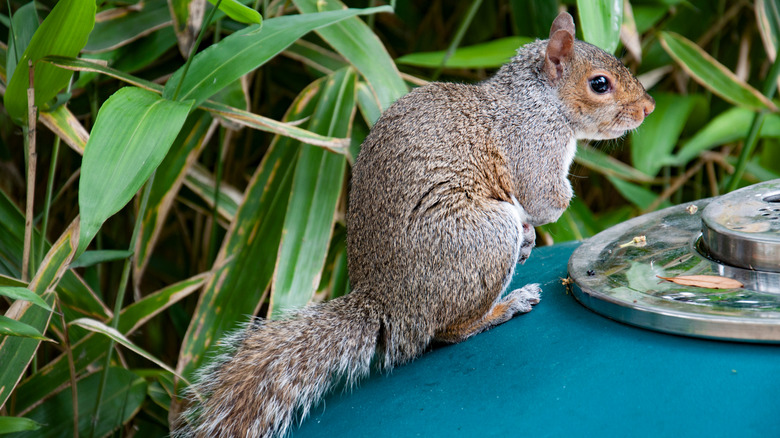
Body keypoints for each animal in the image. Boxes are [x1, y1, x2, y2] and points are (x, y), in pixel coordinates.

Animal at [174, 11, 655, 438]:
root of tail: (388, 304)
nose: (649, 108)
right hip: (481, 238)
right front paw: (537, 225)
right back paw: (505, 305)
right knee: (447, 333)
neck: (539, 100)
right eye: (599, 84)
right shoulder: (533, 147)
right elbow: (544, 200)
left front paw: (532, 239)